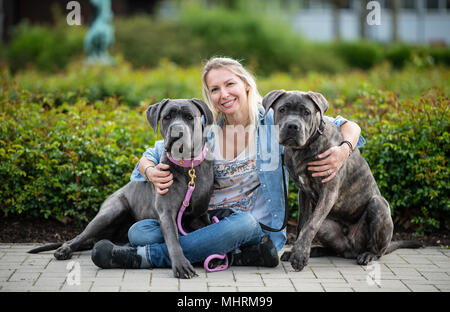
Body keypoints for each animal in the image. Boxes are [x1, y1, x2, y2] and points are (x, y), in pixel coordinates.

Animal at [28, 99, 214, 278]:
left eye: (189, 117)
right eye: (167, 117)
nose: (177, 133)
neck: (187, 167)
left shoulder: (200, 214)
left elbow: (207, 229)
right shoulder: (166, 212)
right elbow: (174, 239)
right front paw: (181, 265)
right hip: (112, 210)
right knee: (80, 236)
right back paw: (66, 249)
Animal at [262, 89, 420, 270]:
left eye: (306, 112)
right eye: (282, 109)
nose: (292, 126)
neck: (305, 147)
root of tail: (351, 249)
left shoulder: (329, 191)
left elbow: (311, 224)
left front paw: (299, 256)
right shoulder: (304, 193)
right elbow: (303, 223)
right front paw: (296, 252)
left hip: (378, 205)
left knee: (377, 249)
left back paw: (368, 255)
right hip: (328, 228)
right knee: (335, 249)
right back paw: (317, 250)